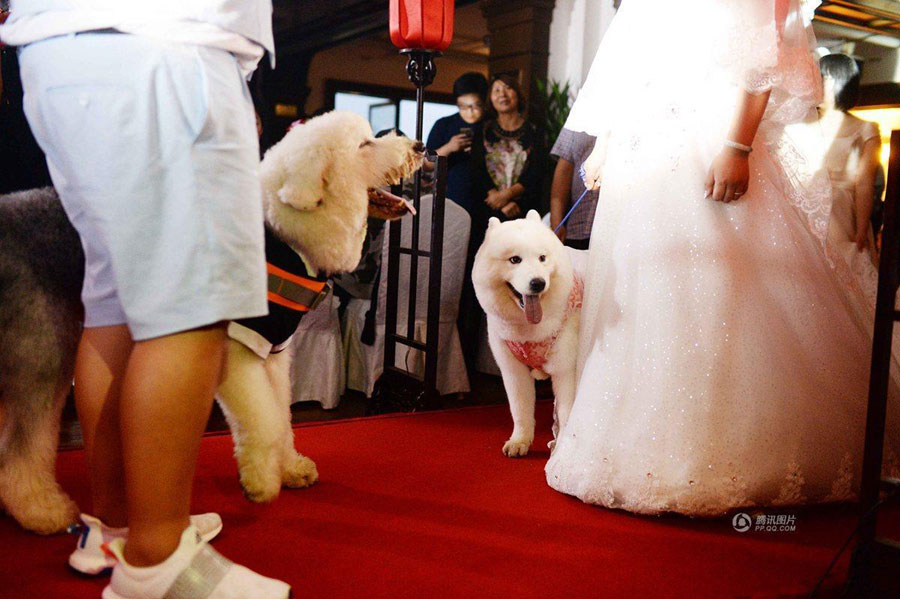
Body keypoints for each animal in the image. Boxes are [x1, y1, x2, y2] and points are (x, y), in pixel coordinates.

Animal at [472, 212, 584, 460]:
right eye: (515, 260)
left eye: (542, 258)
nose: (538, 283)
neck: (528, 331)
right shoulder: (513, 371)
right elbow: (520, 409)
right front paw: (520, 442)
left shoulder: (565, 370)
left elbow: (567, 412)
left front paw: (562, 452)